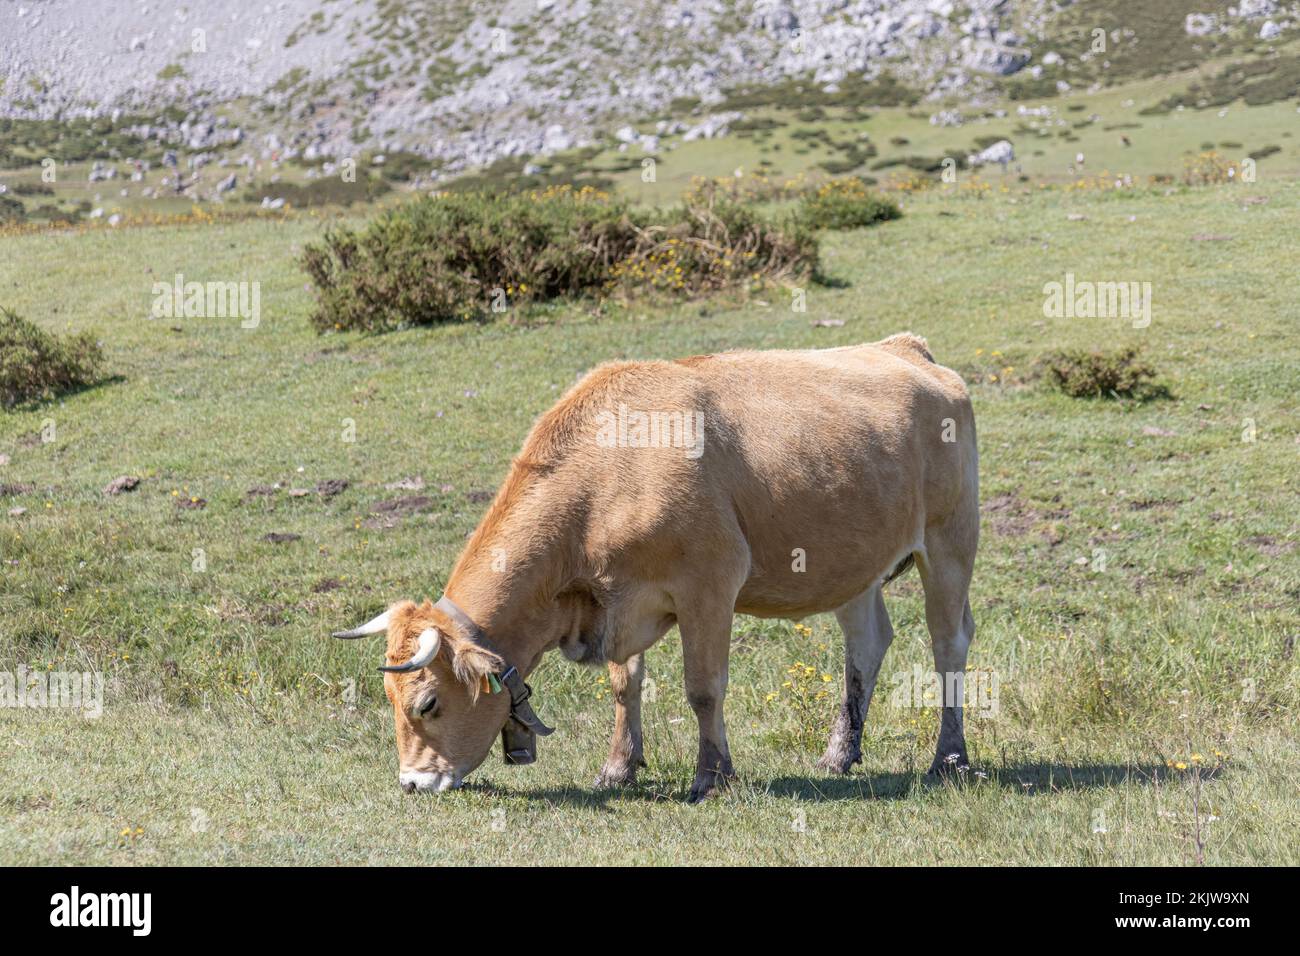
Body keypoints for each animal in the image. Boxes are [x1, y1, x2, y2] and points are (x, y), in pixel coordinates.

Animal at [333, 333, 979, 801]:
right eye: (390, 700)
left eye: (427, 704)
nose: (412, 782)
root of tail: (904, 348)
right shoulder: (617, 599)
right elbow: (625, 685)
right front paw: (619, 767)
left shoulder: (709, 586)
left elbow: (704, 688)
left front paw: (712, 777)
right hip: (854, 563)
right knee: (867, 643)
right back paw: (840, 753)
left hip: (950, 539)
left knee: (948, 643)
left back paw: (949, 759)